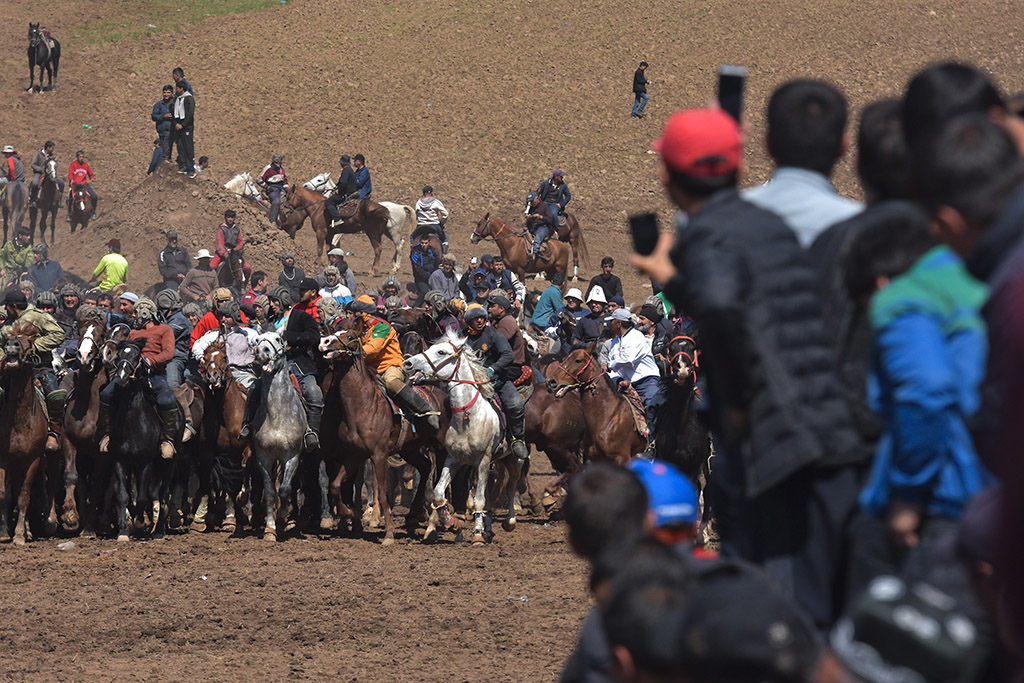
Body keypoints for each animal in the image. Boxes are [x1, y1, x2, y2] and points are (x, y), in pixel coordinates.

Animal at [109, 339, 181, 540]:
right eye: (119, 355)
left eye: (136, 356)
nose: (122, 377)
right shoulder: (120, 460)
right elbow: (124, 495)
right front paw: (124, 531)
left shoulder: (147, 461)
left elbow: (142, 497)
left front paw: (141, 522)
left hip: (169, 462)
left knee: (163, 494)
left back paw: (159, 531)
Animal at [247, 333, 303, 540]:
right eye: (257, 340)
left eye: (278, 339)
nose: (262, 351)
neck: (277, 415)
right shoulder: (263, 457)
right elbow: (270, 491)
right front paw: (270, 528)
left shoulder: (292, 456)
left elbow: (285, 489)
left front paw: (282, 515)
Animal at [317, 315, 450, 544]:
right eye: (333, 333)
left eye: (349, 336)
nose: (324, 343)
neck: (363, 404)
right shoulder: (354, 454)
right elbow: (335, 486)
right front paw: (350, 514)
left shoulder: (378, 454)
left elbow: (381, 492)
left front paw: (388, 533)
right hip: (409, 449)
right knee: (424, 468)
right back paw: (412, 516)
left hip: (439, 447)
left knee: (436, 478)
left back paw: (432, 524)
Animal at [403, 329, 524, 544]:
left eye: (441, 352)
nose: (408, 363)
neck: (468, 417)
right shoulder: (453, 459)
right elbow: (438, 493)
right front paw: (451, 524)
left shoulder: (483, 460)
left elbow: (478, 501)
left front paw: (476, 534)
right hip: (494, 462)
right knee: (491, 495)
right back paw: (488, 529)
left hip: (513, 459)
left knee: (510, 487)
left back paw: (509, 522)